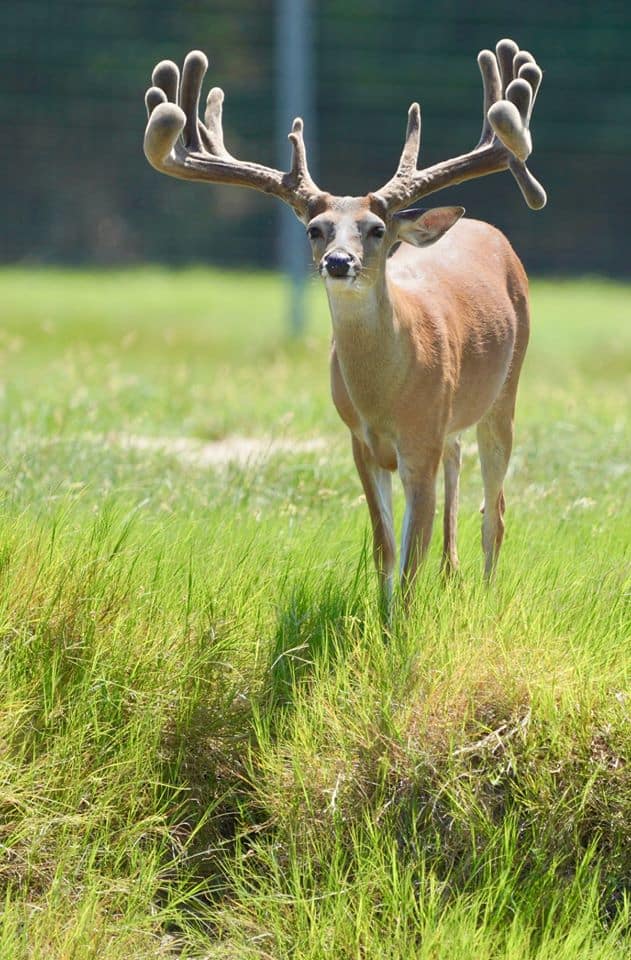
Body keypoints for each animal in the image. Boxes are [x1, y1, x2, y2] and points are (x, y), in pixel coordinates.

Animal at [143, 38, 546, 605]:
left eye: (376, 229)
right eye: (316, 228)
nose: (338, 262)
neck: (387, 392)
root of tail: (489, 230)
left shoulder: (418, 439)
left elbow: (412, 553)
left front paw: (404, 620)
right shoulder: (360, 440)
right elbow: (384, 548)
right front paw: (384, 610)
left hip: (506, 390)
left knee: (497, 509)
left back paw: (486, 592)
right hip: (456, 418)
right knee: (460, 462)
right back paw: (454, 573)